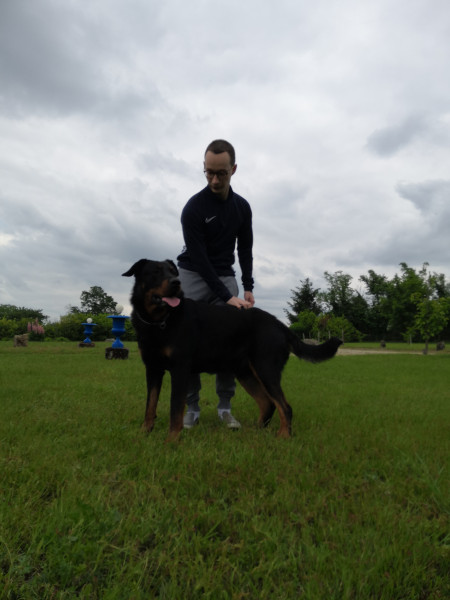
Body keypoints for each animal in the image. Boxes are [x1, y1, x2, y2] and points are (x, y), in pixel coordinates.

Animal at [123, 259, 342, 441]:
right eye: (155, 272)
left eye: (172, 271)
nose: (177, 282)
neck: (159, 321)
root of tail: (280, 325)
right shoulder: (153, 369)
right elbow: (150, 405)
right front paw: (144, 432)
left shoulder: (180, 369)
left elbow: (175, 409)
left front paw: (172, 440)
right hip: (246, 372)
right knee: (268, 403)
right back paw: (256, 430)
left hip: (266, 369)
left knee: (284, 406)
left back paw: (284, 436)